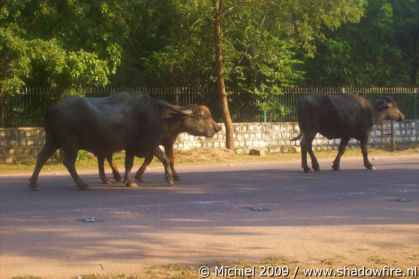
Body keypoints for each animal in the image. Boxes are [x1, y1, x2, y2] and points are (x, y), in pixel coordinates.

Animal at [27, 93, 221, 191]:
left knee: (41, 157)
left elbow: (129, 163)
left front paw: (129, 180)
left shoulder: (131, 147)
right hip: (70, 142)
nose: (217, 128)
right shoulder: (150, 143)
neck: (158, 115)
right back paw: (82, 184)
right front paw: (169, 178)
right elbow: (164, 158)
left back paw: (33, 183)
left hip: (53, 140)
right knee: (68, 162)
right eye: (202, 116)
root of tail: (51, 109)